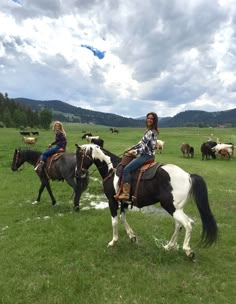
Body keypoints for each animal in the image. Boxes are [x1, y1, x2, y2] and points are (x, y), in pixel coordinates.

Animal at [75, 144, 218, 258]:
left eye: (79, 156)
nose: (78, 174)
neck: (112, 169)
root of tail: (188, 176)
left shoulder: (112, 201)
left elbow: (114, 221)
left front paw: (113, 241)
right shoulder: (123, 202)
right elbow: (122, 218)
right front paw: (132, 236)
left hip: (172, 207)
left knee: (187, 224)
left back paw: (187, 250)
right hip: (176, 208)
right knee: (179, 225)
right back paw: (168, 246)